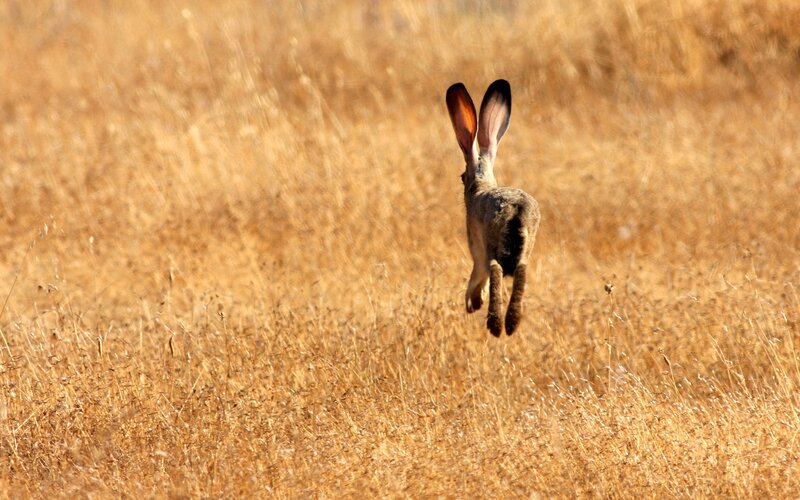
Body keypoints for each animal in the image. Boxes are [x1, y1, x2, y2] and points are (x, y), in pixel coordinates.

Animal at [446, 79, 540, 336]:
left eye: (461, 177)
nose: (461, 180)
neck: (483, 184)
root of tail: (515, 209)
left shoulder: (474, 246)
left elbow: (478, 276)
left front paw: (473, 302)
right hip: (526, 246)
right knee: (521, 270)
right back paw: (511, 323)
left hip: (490, 244)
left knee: (495, 269)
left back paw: (495, 324)